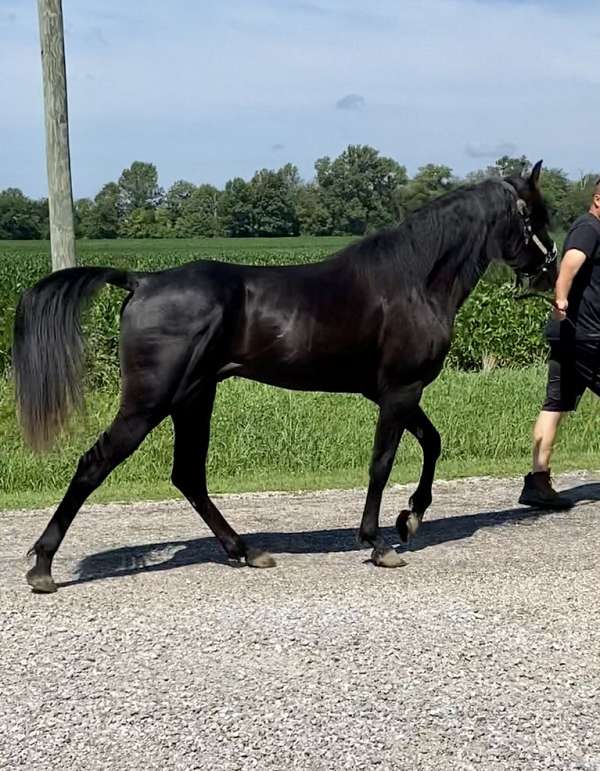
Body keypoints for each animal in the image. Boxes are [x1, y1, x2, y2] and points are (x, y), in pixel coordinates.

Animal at [13, 161, 557, 593]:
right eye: (537, 214)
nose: (553, 271)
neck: (414, 281)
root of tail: (143, 281)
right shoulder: (399, 390)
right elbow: (383, 463)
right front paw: (380, 540)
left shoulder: (394, 391)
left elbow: (432, 443)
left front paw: (411, 518)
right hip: (151, 401)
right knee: (95, 464)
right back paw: (42, 566)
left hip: (194, 397)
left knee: (188, 474)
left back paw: (245, 550)